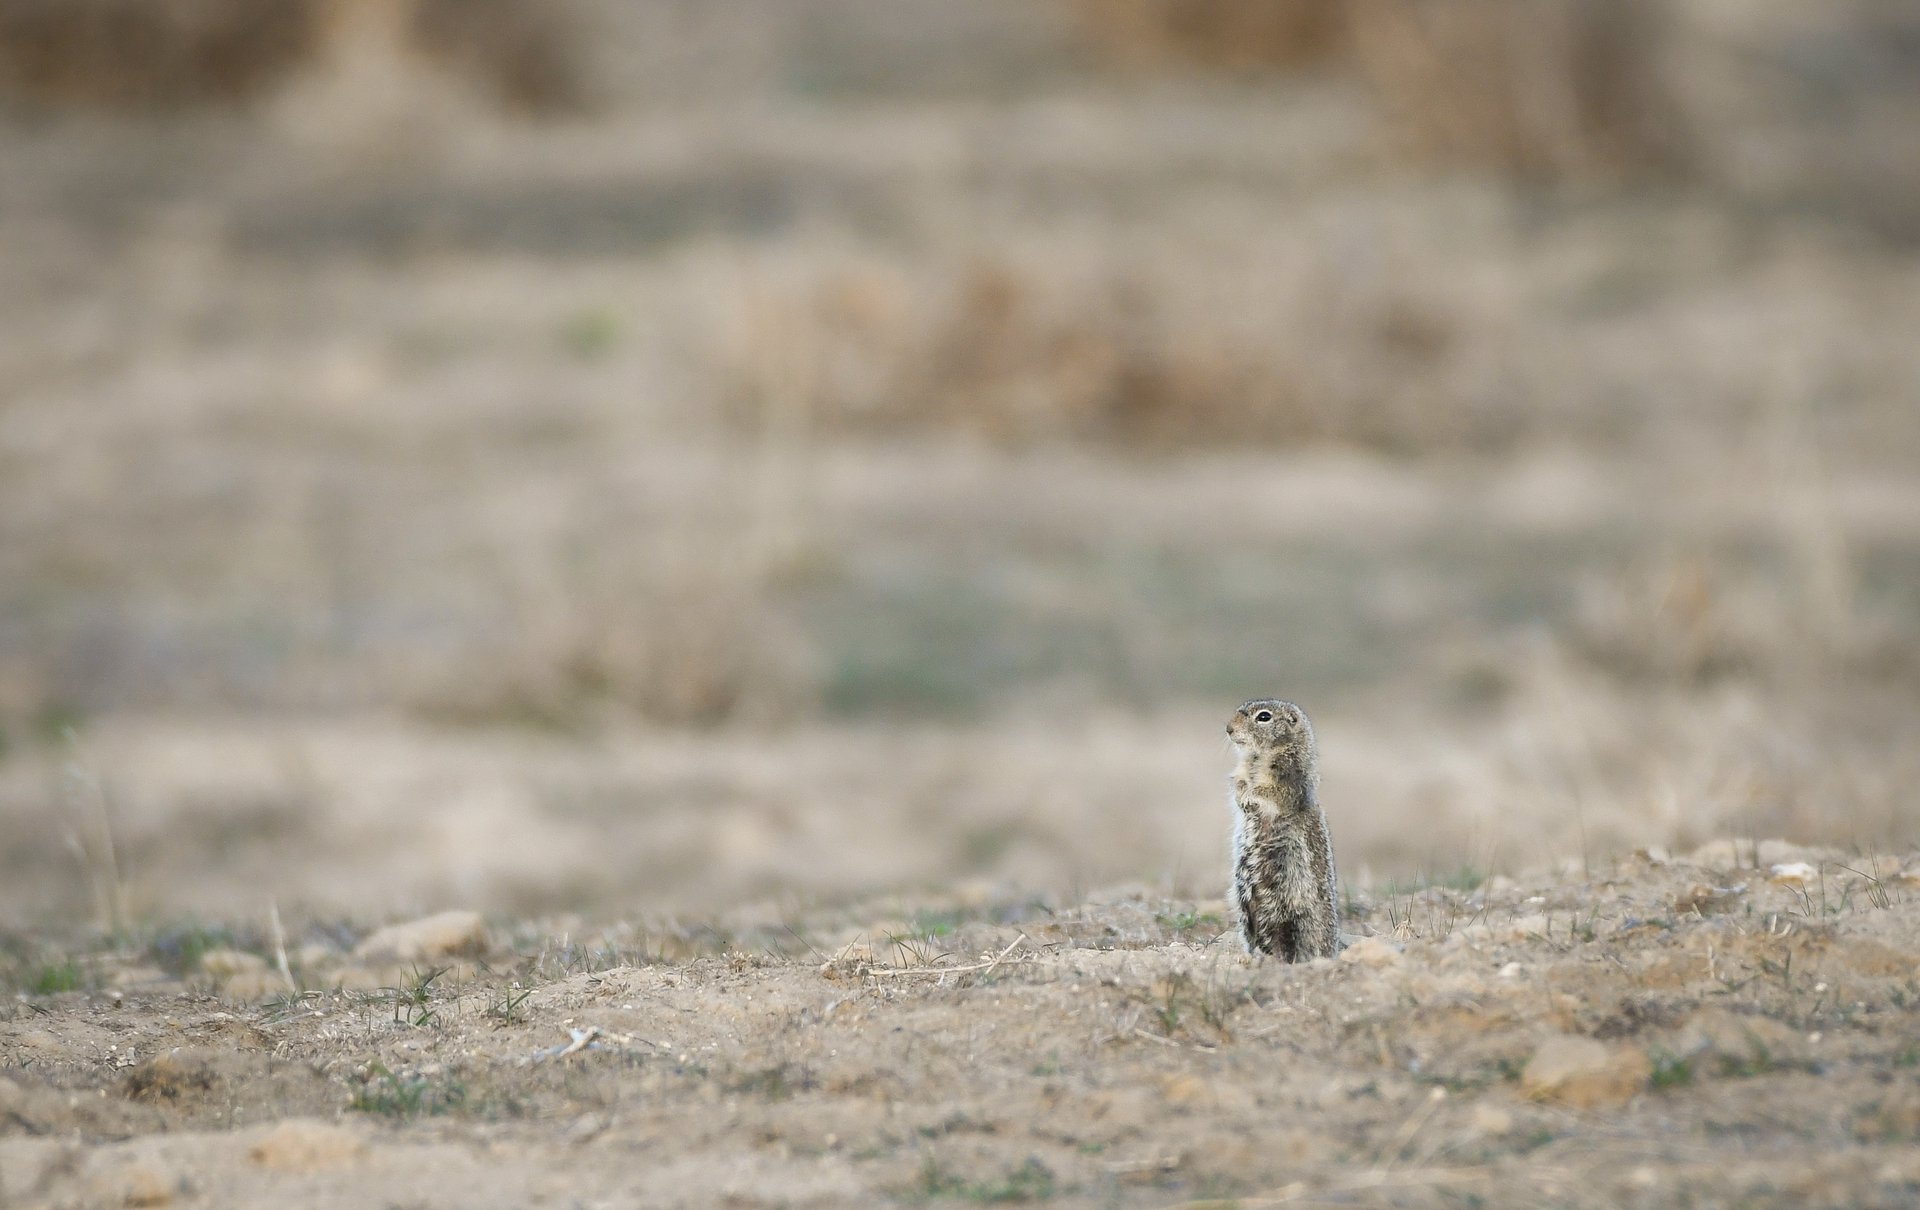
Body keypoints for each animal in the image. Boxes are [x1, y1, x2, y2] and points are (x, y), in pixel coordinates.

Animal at [1225, 699, 1342, 962]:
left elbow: (1269, 791)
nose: (1228, 728)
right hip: (1244, 907)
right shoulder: (1242, 770)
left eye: (1264, 717)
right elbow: (1238, 781)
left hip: (1289, 912)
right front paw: (1241, 796)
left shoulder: (1287, 775)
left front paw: (1249, 797)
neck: (1259, 756)